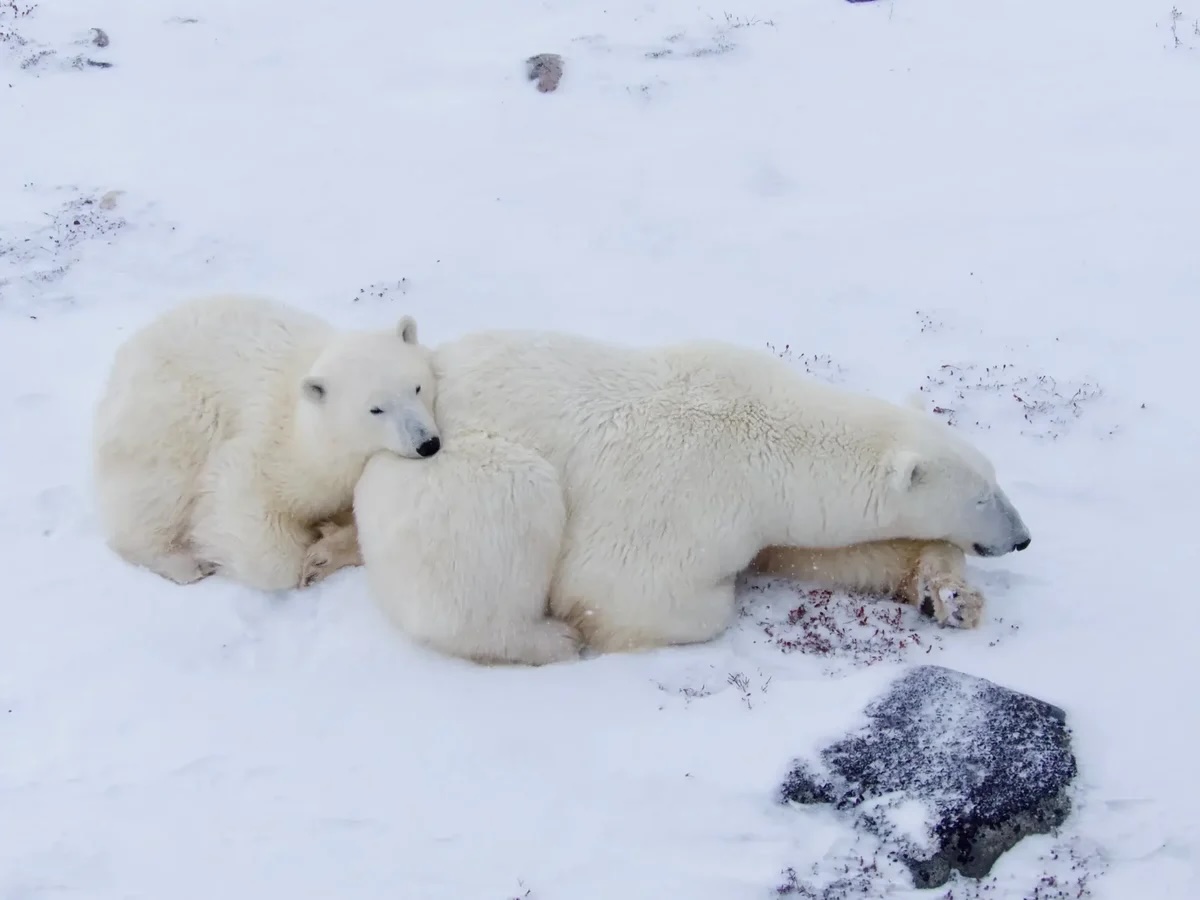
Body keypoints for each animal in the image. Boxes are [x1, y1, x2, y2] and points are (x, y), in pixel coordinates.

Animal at [91, 293, 442, 592]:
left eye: (417, 387)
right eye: (376, 409)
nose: (427, 443)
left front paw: (328, 546)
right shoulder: (269, 450)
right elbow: (242, 513)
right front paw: (306, 552)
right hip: (167, 414)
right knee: (158, 490)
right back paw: (184, 563)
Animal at [303, 329, 1031, 659]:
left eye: (996, 480)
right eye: (982, 495)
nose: (1022, 537)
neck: (771, 436)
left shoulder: (769, 516)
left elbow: (827, 553)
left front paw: (949, 593)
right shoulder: (685, 493)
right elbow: (627, 589)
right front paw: (599, 623)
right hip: (443, 472)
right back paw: (547, 639)